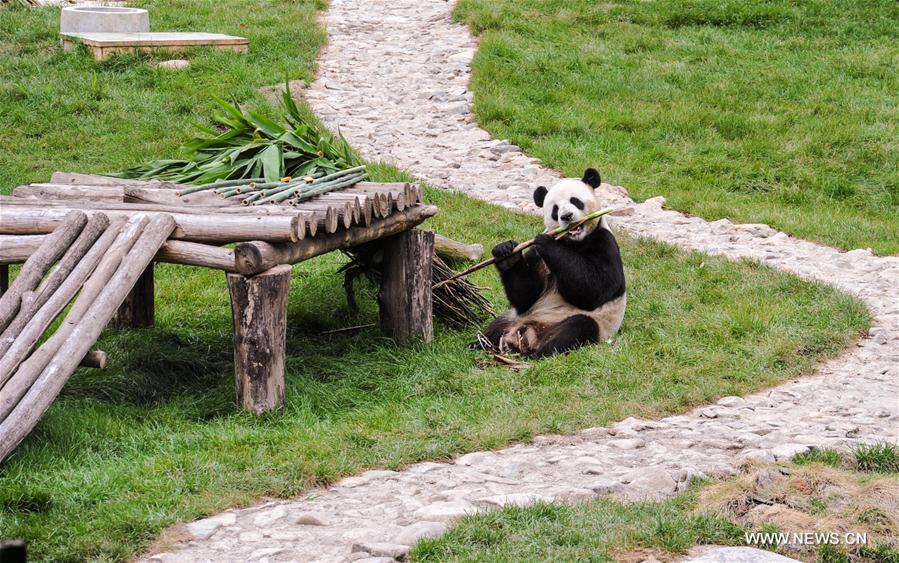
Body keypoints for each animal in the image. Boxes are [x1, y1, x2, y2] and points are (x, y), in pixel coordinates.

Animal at [478, 167, 624, 360]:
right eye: (555, 209)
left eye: (575, 201)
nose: (567, 216)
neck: (572, 242)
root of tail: (527, 335)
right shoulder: (536, 257)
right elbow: (525, 296)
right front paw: (506, 253)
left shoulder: (604, 242)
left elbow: (596, 289)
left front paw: (546, 242)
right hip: (518, 317)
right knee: (500, 322)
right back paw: (479, 343)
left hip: (587, 323)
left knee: (576, 328)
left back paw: (539, 354)